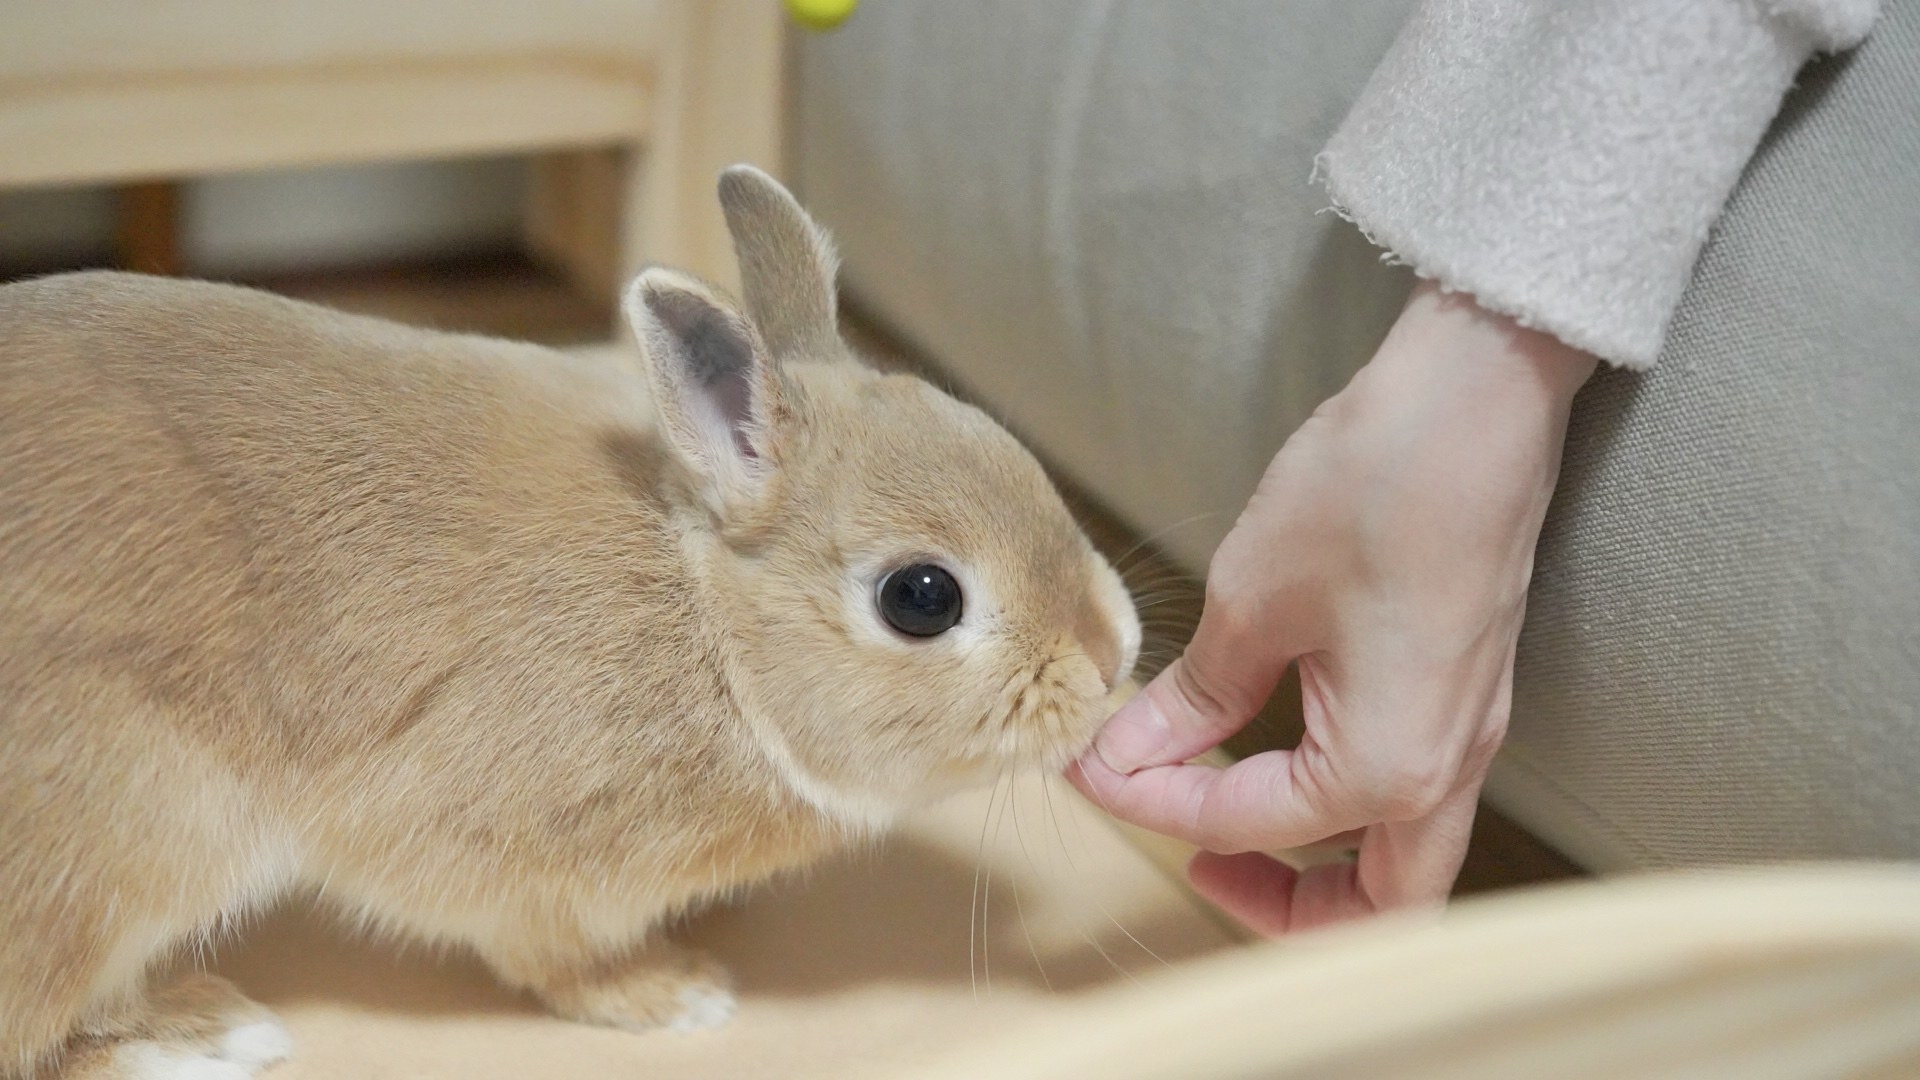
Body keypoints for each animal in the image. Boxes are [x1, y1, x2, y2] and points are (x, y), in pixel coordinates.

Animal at [0, 168, 1136, 1076]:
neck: (713, 631)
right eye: (922, 598)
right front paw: (675, 993)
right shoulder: (520, 852)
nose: (1111, 653)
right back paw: (203, 1034)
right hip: (123, 847)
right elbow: (553, 951)